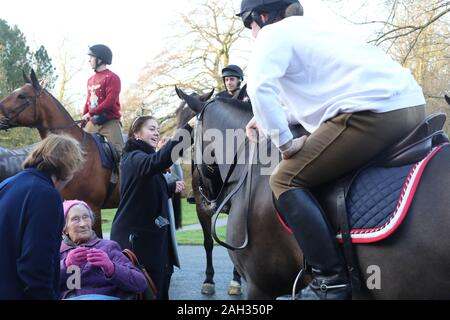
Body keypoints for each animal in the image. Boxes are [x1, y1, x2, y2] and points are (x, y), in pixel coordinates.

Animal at [176, 87, 246, 296]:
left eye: (191, 117)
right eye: (177, 115)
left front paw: (236, 281)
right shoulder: (201, 208)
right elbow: (208, 243)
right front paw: (208, 280)